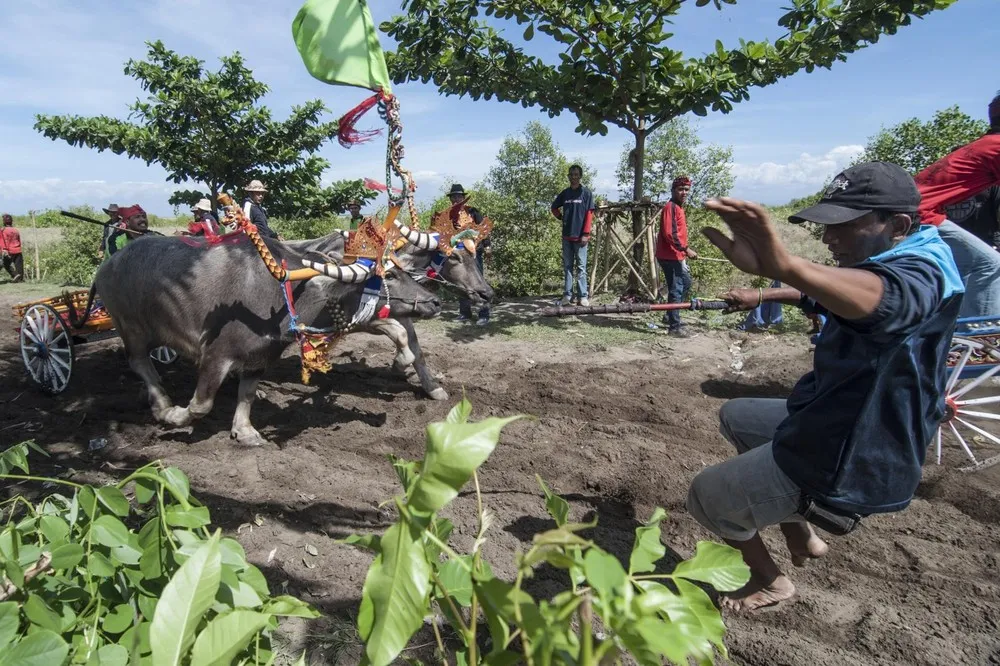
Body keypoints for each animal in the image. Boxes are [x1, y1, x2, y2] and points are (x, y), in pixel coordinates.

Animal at [88, 231, 440, 444]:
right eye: (389, 275)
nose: (435, 302)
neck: (281, 293)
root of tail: (107, 266)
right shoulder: (216, 354)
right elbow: (201, 404)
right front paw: (176, 416)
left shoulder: (261, 355)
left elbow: (246, 394)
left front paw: (245, 432)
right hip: (131, 327)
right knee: (138, 361)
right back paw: (160, 403)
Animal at [290, 220, 492, 400]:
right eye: (454, 257)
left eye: (474, 255)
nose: (487, 294)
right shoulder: (364, 317)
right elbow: (399, 333)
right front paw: (398, 364)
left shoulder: (404, 311)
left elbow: (415, 348)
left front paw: (433, 388)